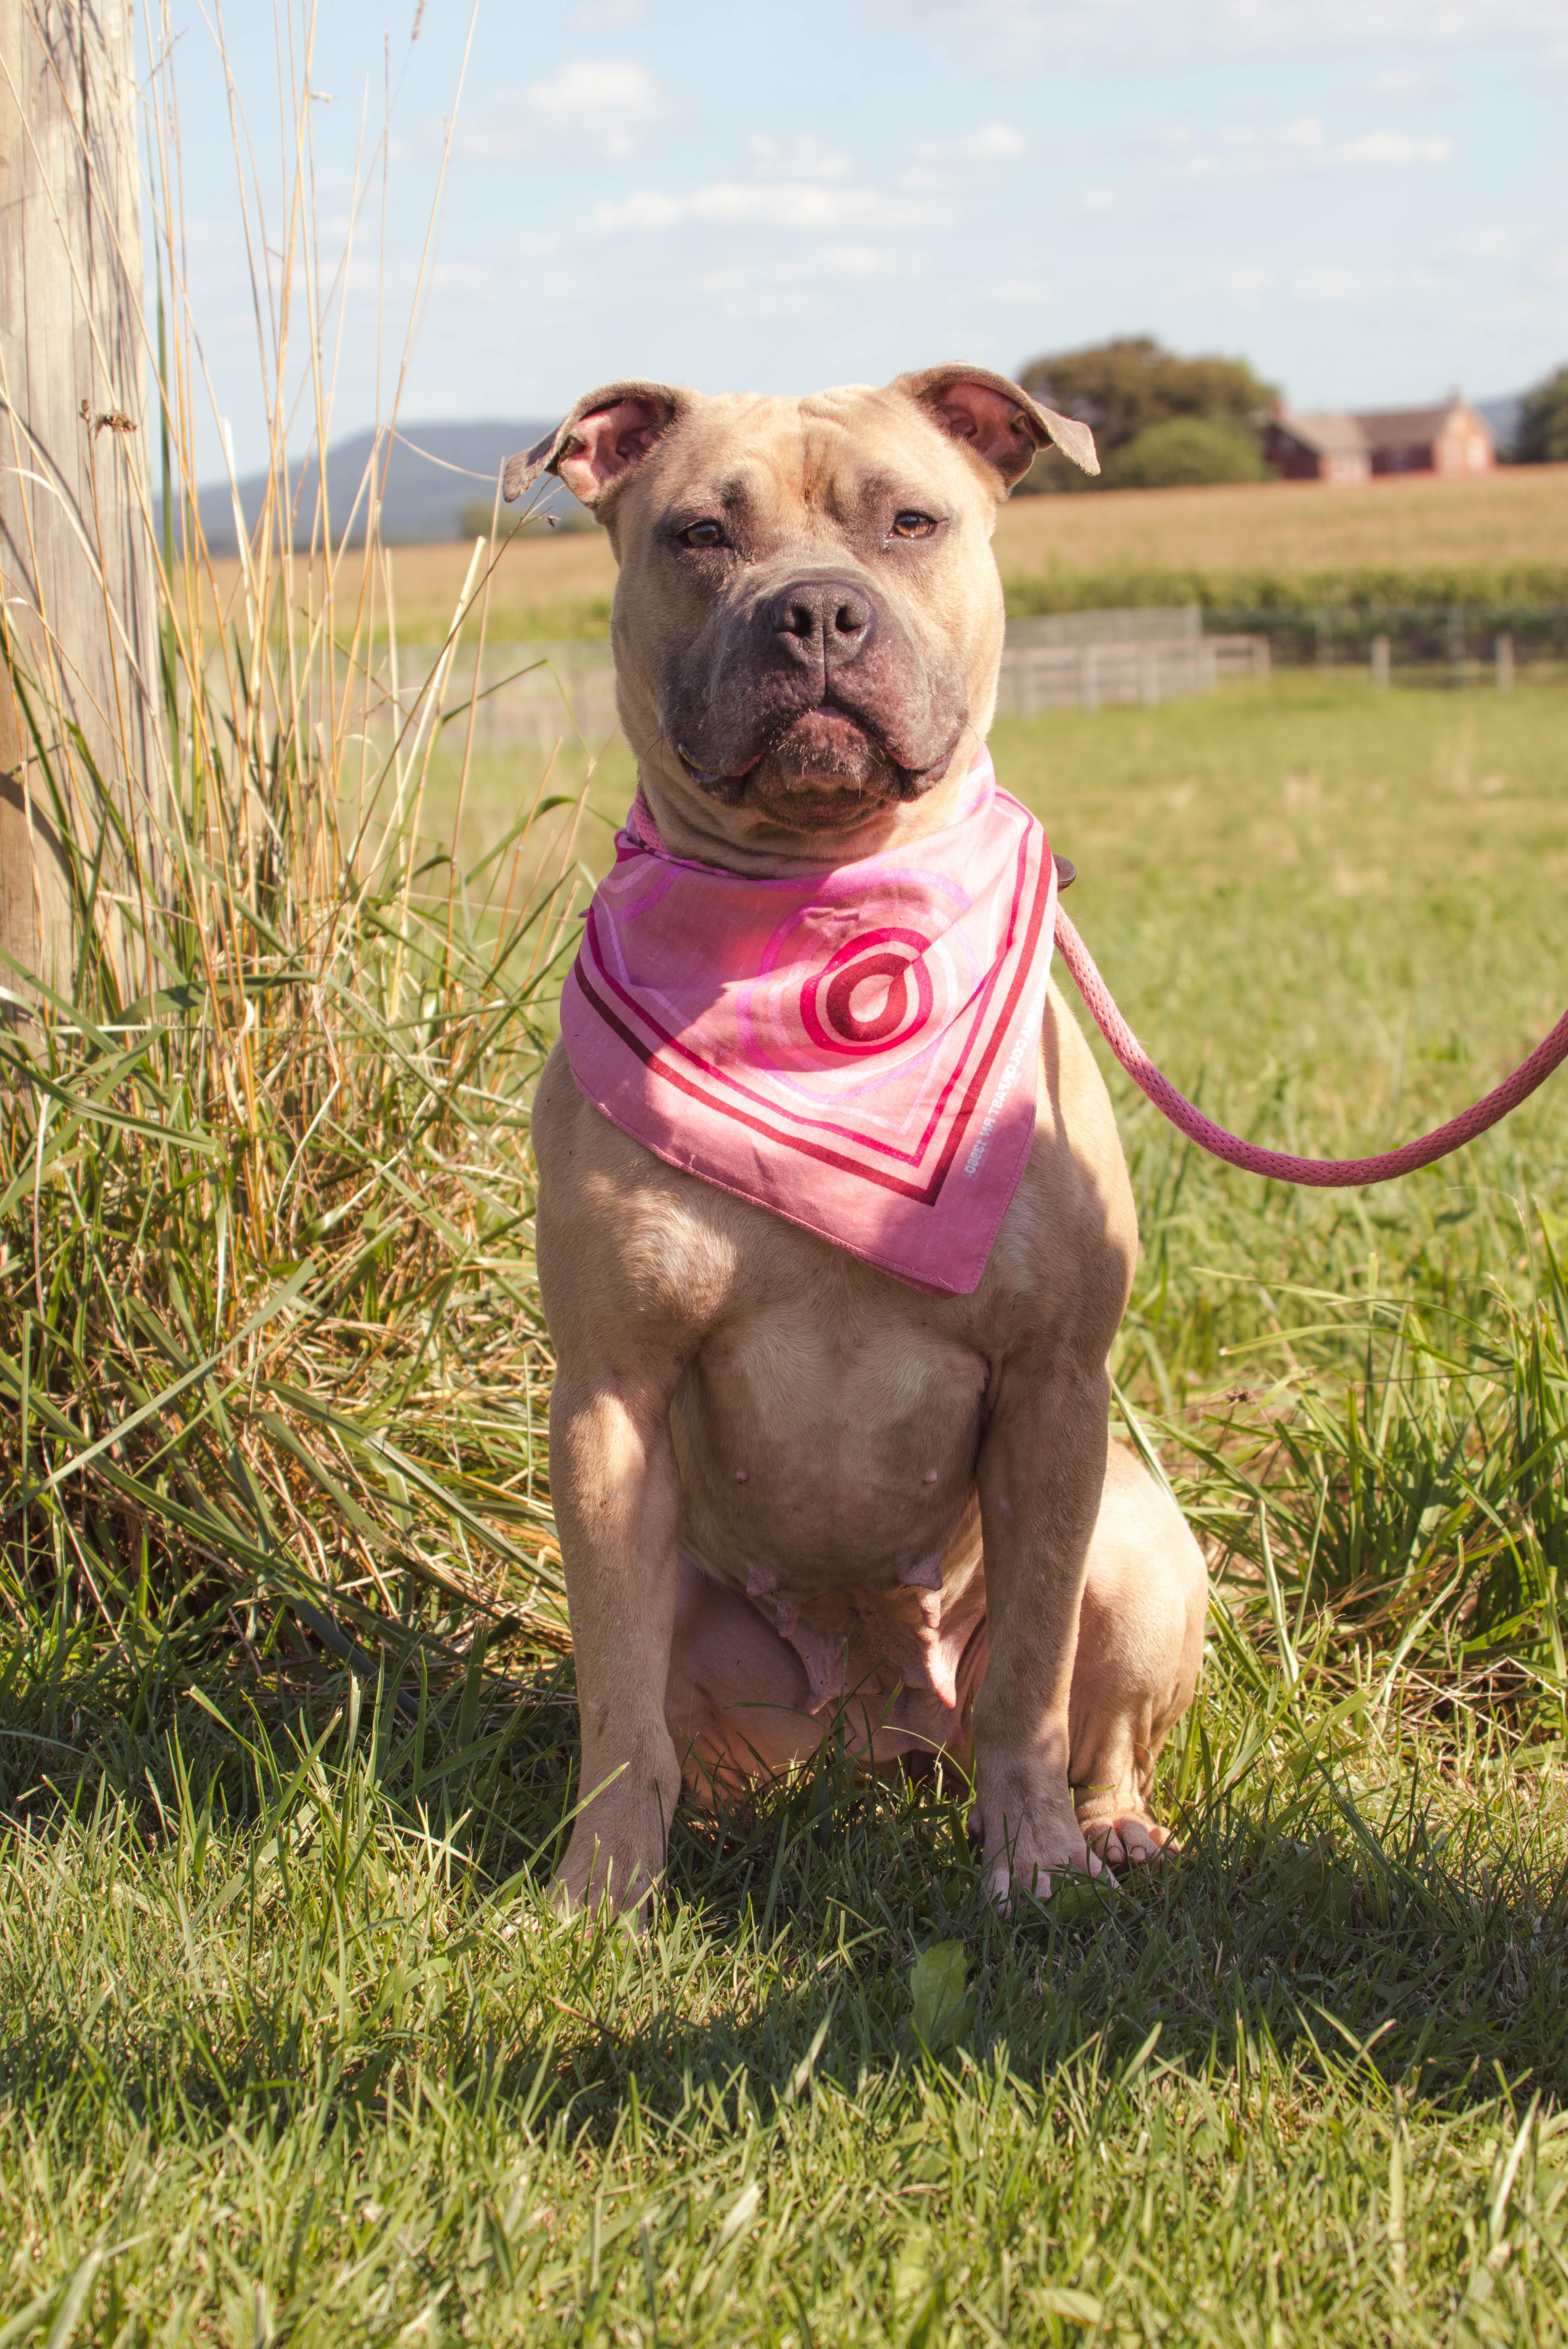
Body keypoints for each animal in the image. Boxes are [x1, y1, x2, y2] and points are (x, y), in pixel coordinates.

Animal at [509, 362, 1211, 1907]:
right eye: (699, 534)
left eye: (909, 521)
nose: (818, 612)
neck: (823, 908)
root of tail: (876, 1725)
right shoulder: (608, 1400)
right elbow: (615, 1706)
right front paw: (600, 1883)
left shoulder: (1054, 1388)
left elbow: (1028, 1683)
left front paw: (1032, 1857)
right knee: (671, 1726)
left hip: (1140, 1548)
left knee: (1091, 1719)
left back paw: (1110, 1828)